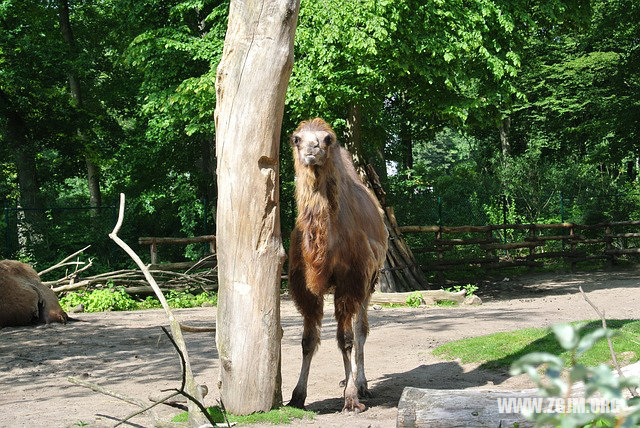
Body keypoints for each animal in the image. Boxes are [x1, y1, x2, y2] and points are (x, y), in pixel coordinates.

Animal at [288, 118, 388, 412]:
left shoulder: (351, 279)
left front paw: (352, 398)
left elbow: (346, 339)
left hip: (370, 280)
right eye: (297, 139)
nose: (312, 149)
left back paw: (361, 384)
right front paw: (297, 396)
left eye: (328, 138)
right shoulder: (304, 287)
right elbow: (307, 341)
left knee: (360, 329)